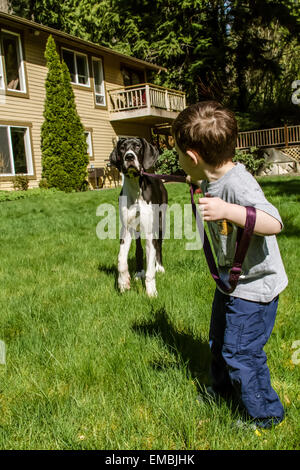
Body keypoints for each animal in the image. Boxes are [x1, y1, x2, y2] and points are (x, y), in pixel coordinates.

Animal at [109, 138, 168, 296]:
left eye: (137, 146)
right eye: (122, 148)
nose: (129, 157)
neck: (136, 190)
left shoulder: (150, 231)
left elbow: (151, 267)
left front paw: (151, 291)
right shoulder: (126, 229)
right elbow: (121, 259)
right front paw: (123, 282)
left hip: (161, 221)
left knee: (159, 245)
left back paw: (160, 267)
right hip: (136, 230)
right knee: (139, 249)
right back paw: (139, 272)